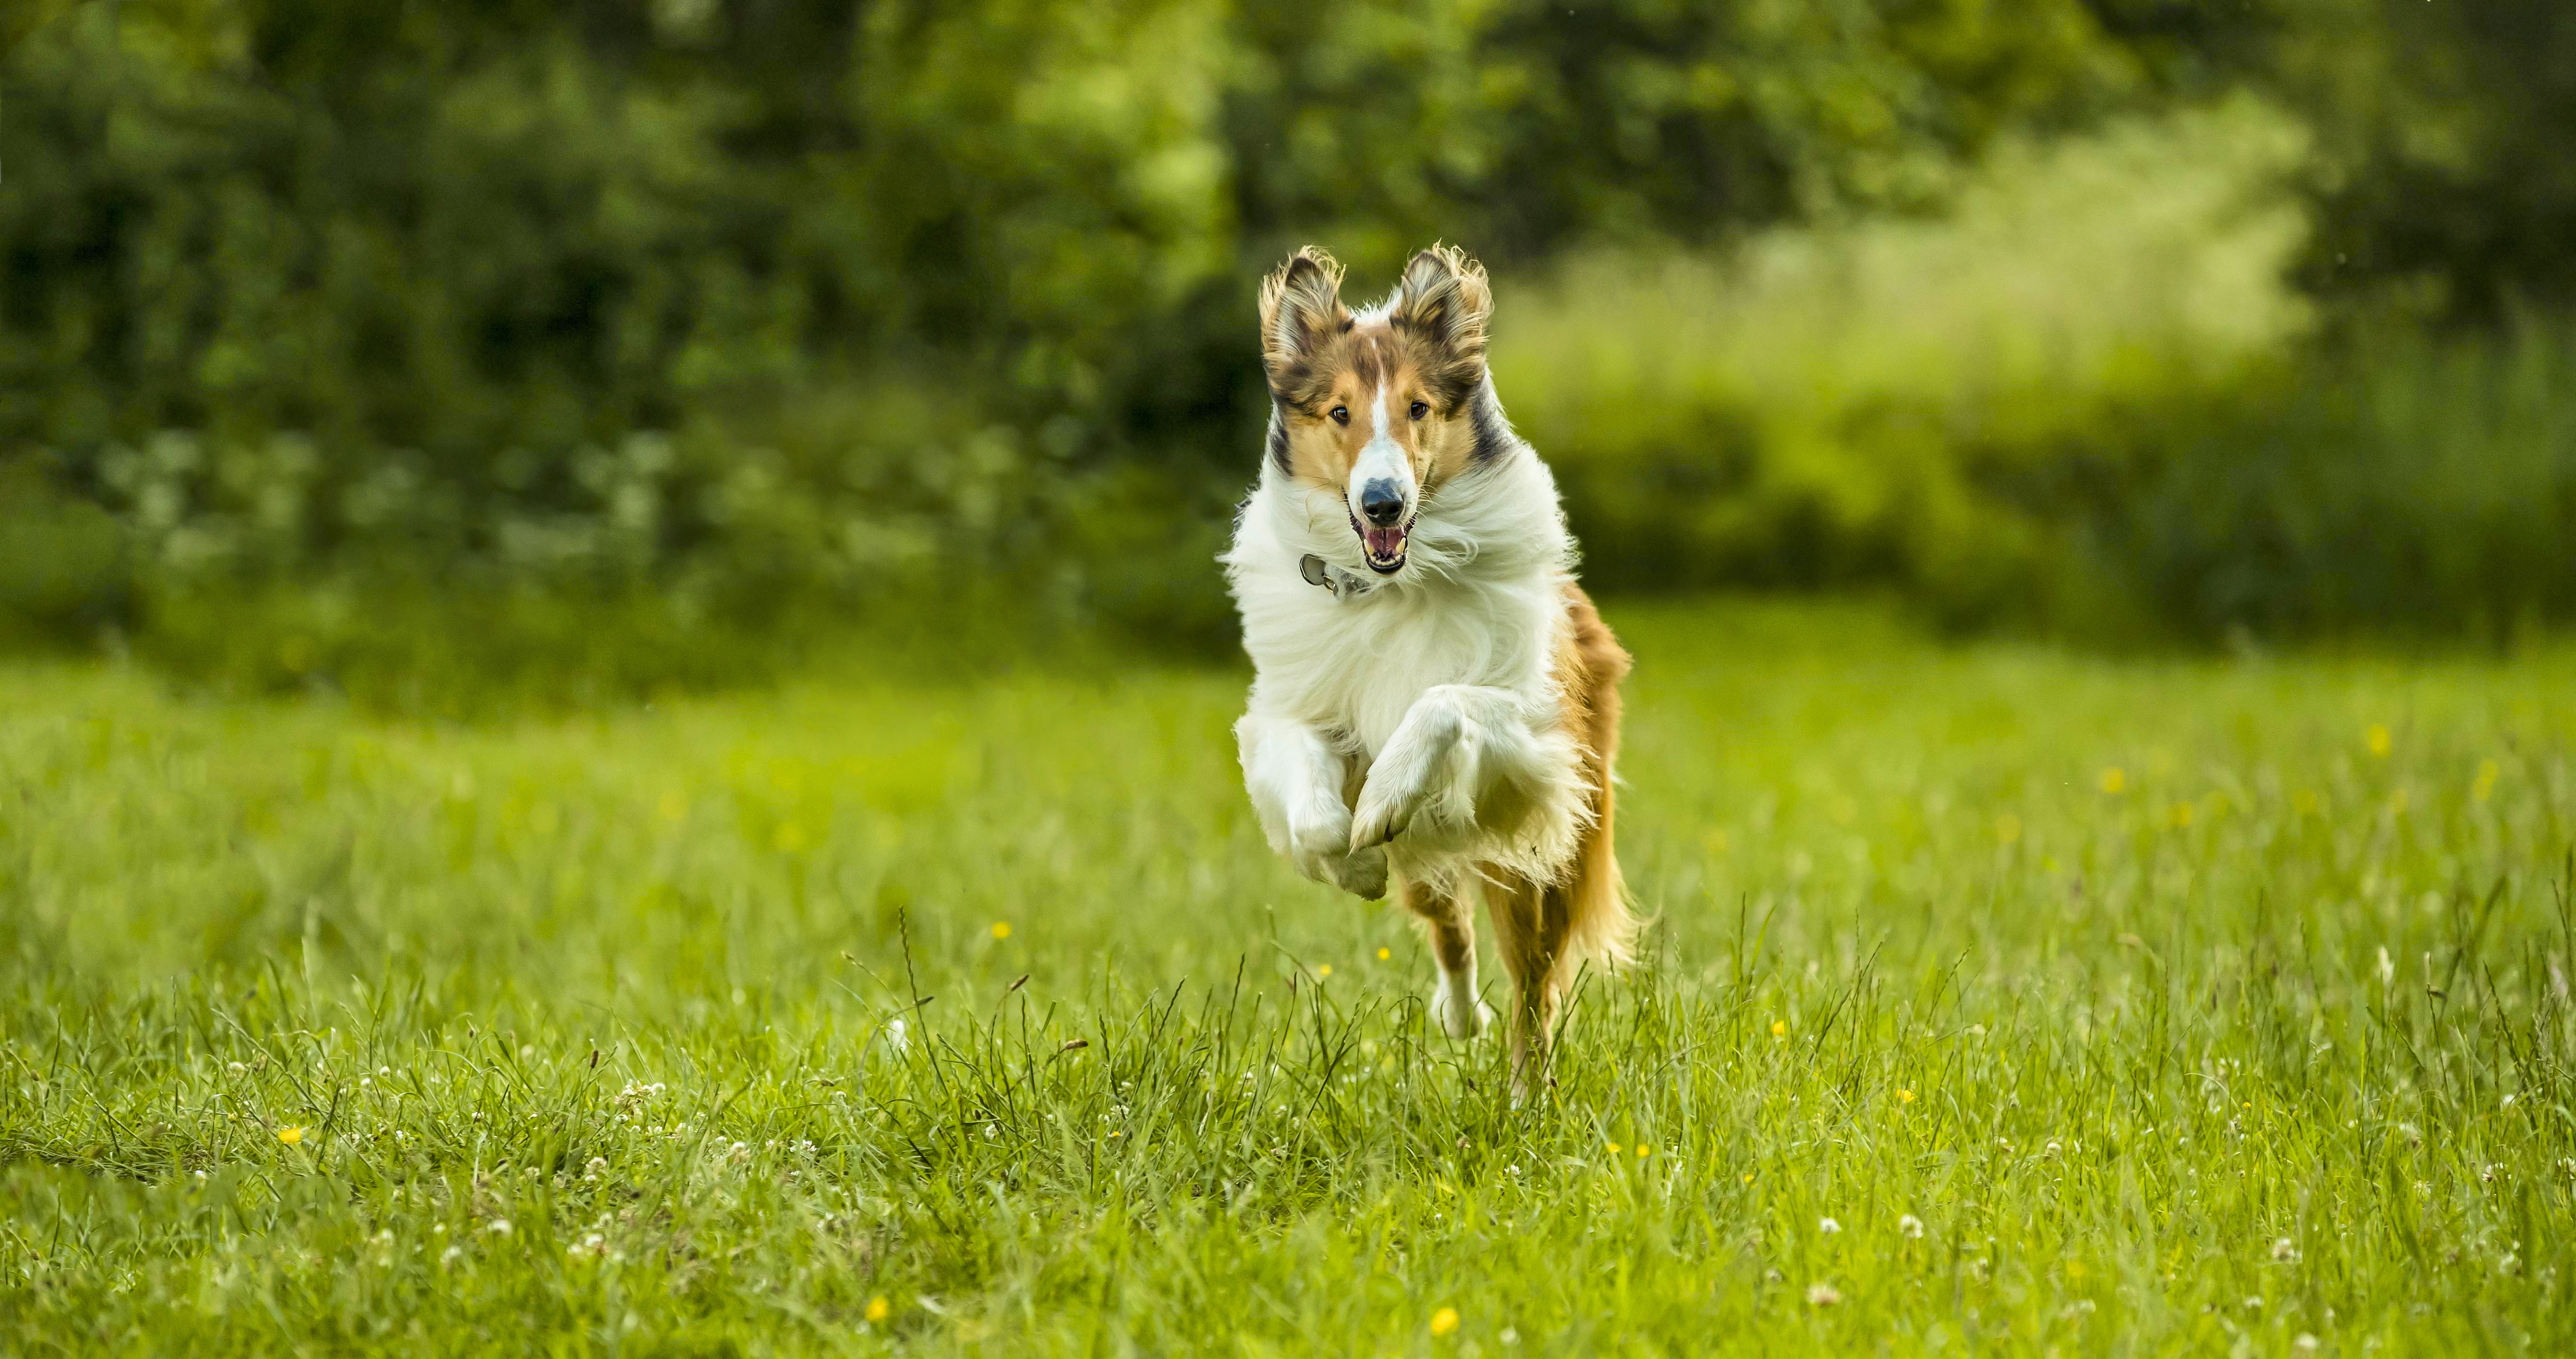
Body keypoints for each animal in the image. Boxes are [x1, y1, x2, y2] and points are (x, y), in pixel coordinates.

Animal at [1221, 244, 1628, 1091]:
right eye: (1340, 412)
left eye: (1417, 407)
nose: (1382, 503)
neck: (1392, 584)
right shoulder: (1292, 712)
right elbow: (1318, 821)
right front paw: (1355, 861)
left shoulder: (1536, 733)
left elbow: (1440, 699)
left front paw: (1382, 794)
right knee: (1448, 925)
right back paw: (1459, 1013)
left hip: (1541, 856)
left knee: (1533, 987)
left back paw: (1525, 1094)